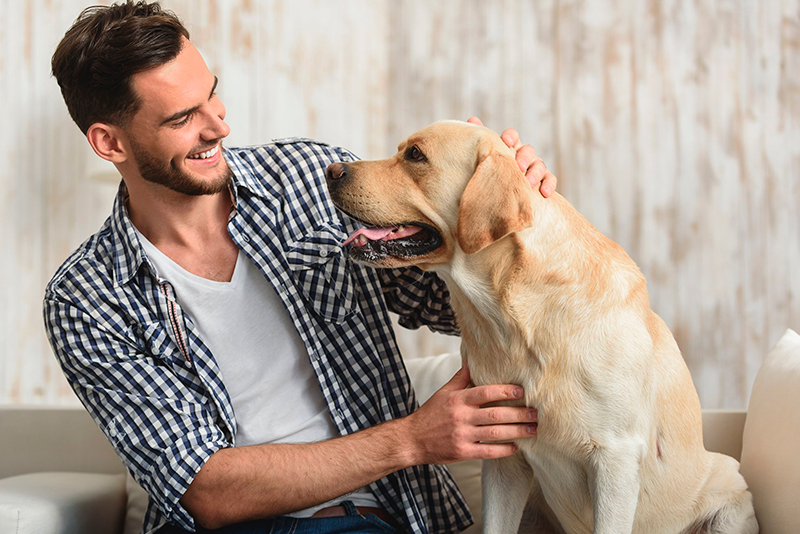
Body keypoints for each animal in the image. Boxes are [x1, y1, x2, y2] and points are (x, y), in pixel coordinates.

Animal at [324, 121, 756, 534]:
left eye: (415, 155)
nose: (332, 170)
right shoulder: (502, 452)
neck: (511, 316)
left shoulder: (616, 458)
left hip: (731, 496)